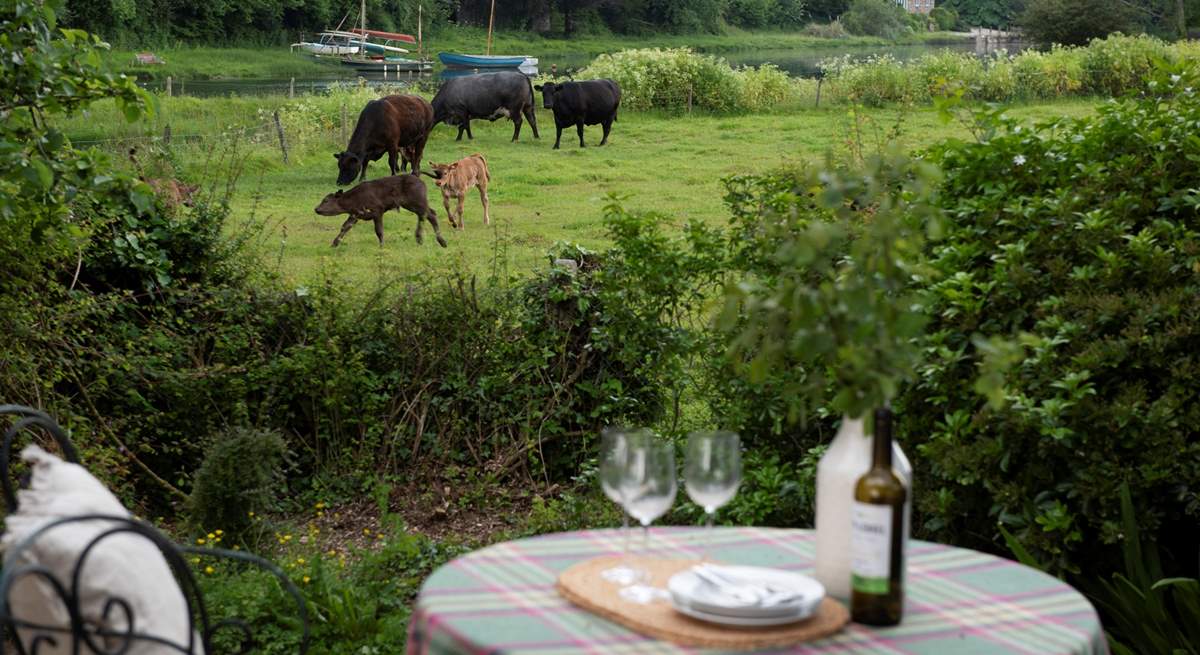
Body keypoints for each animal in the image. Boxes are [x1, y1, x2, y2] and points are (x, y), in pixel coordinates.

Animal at [316, 172, 448, 247]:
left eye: (326, 200)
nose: (316, 209)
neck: (356, 197)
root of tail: (418, 179)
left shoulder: (377, 212)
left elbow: (379, 230)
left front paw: (381, 245)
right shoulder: (355, 214)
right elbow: (345, 227)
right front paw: (334, 243)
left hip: (417, 202)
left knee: (429, 214)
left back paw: (438, 240)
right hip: (412, 205)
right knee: (426, 215)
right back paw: (424, 239)